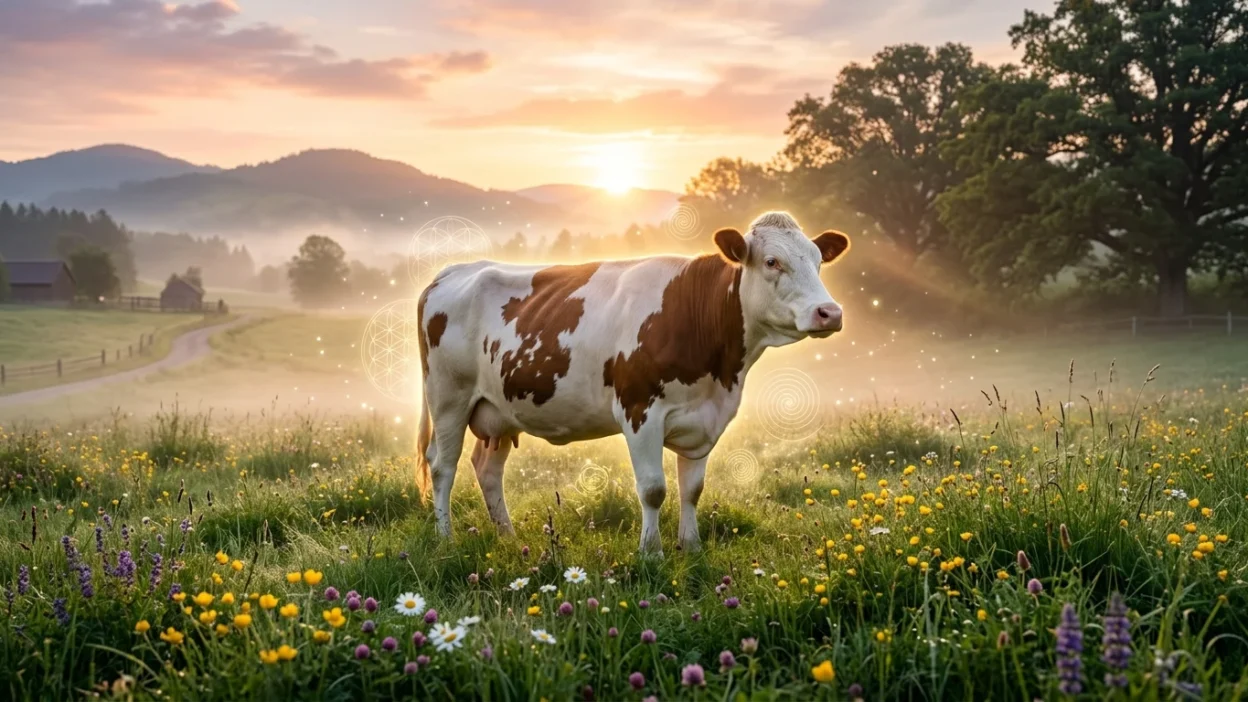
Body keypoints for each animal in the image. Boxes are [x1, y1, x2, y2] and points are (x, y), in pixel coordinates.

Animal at [415, 211, 849, 555]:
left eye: (817, 260)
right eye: (773, 261)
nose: (830, 312)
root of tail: (452, 271)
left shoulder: (705, 418)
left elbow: (693, 489)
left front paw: (691, 548)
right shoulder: (640, 411)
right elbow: (654, 489)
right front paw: (651, 553)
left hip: (499, 409)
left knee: (487, 467)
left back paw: (508, 536)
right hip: (449, 398)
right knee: (442, 465)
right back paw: (445, 539)